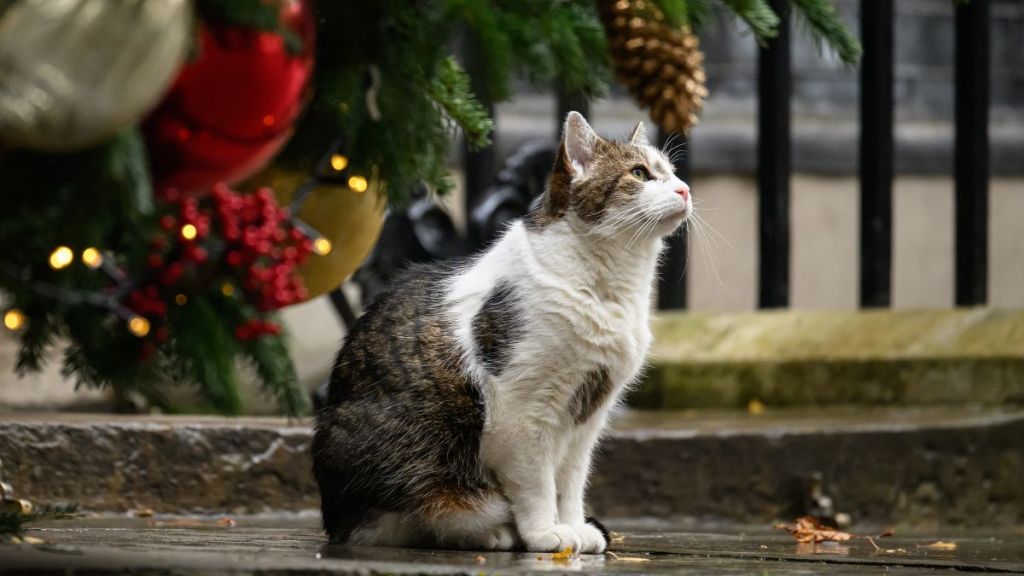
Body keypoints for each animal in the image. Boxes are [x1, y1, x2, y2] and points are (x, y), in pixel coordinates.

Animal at [313, 111, 688, 553]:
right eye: (640, 173)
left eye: (672, 172)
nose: (684, 189)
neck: (610, 286)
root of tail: (333, 520)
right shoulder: (522, 412)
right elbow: (538, 484)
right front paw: (545, 533)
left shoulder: (587, 420)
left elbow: (570, 483)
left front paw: (574, 527)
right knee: (405, 519)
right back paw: (491, 531)